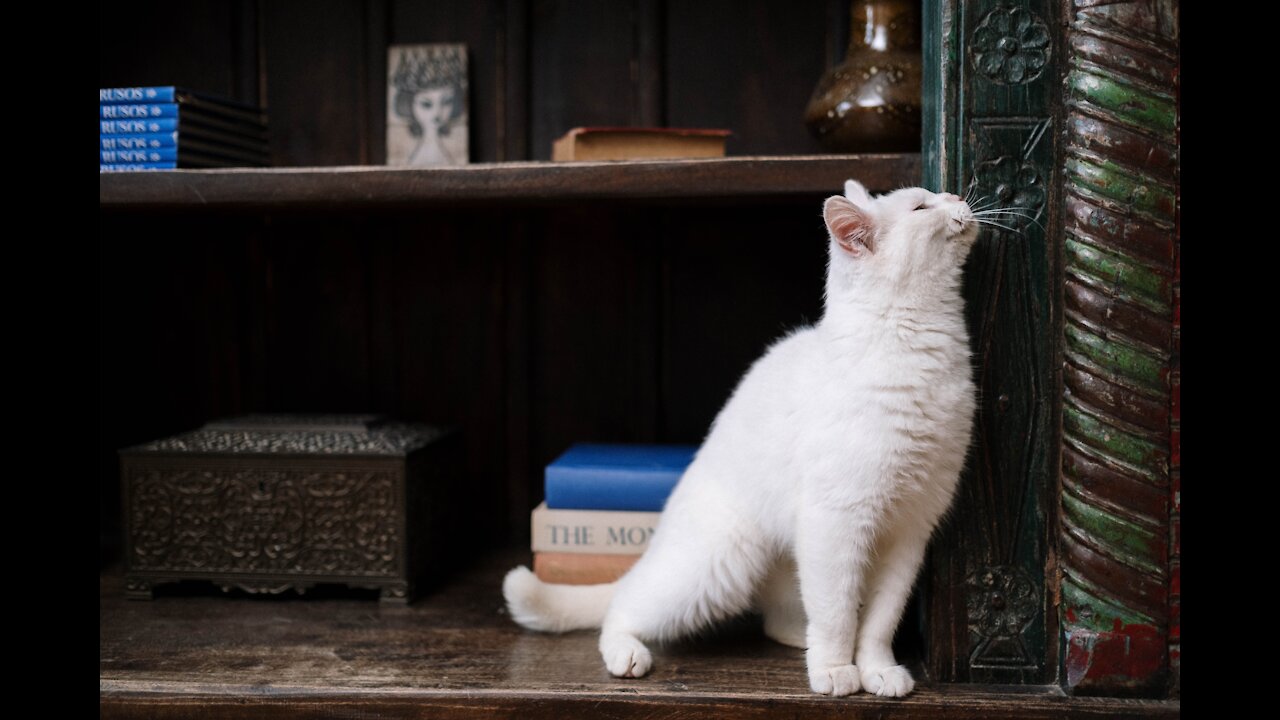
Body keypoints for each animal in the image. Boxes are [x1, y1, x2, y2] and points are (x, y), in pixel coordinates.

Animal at [501, 179, 977, 696]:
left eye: (937, 196)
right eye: (921, 206)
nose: (957, 198)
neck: (916, 344)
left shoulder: (909, 530)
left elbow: (879, 619)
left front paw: (876, 670)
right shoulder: (837, 522)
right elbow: (837, 615)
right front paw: (835, 671)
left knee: (780, 617)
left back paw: (799, 640)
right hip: (717, 566)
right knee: (623, 606)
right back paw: (627, 654)